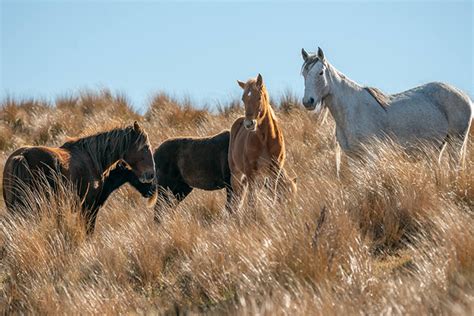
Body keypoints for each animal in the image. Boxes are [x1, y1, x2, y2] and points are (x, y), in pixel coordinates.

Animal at [227, 74, 290, 211]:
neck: (265, 140)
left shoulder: (275, 171)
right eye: (243, 99)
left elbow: (272, 197)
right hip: (237, 174)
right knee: (237, 199)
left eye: (259, 97)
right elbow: (252, 200)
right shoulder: (250, 172)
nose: (249, 124)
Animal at [302, 46, 472, 168]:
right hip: (439, 146)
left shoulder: (369, 155)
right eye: (304, 74)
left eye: (320, 73)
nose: (308, 101)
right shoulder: (353, 157)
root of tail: (466, 98)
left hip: (456, 143)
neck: (352, 110)